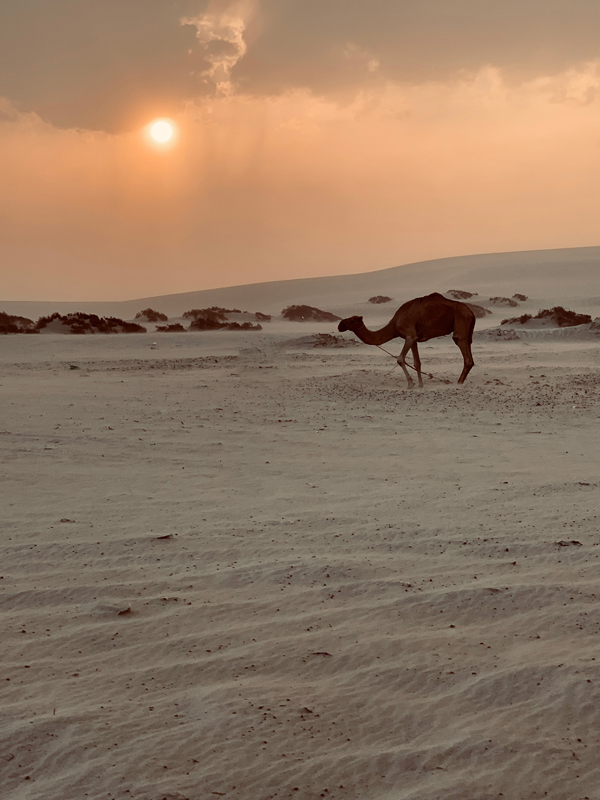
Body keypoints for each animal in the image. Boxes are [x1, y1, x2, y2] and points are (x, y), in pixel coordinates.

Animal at [338, 292, 474, 390]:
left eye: (351, 320)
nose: (340, 325)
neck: (395, 324)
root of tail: (471, 312)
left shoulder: (409, 335)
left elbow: (400, 359)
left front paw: (411, 384)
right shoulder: (414, 339)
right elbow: (417, 362)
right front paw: (420, 385)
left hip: (461, 318)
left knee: (460, 343)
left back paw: (458, 382)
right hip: (468, 327)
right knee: (469, 347)